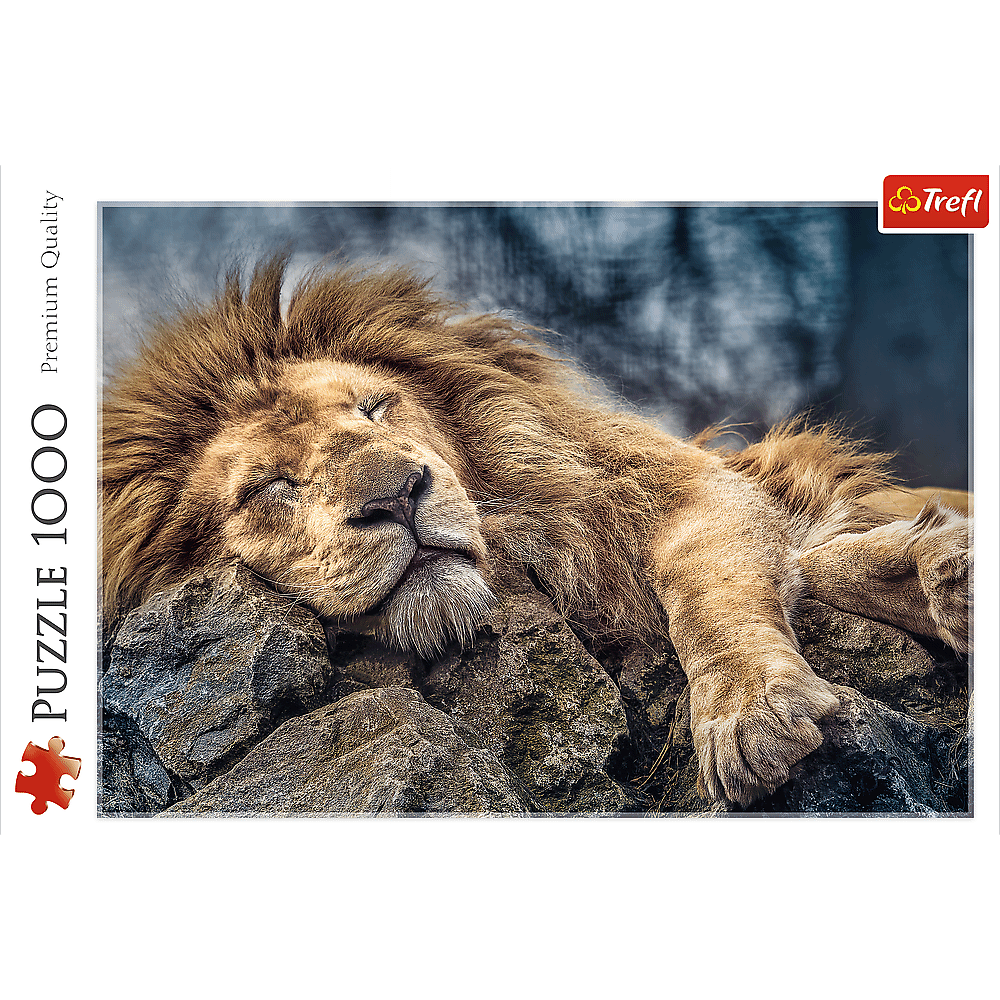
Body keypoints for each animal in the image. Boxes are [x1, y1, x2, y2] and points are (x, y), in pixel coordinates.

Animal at [101, 255, 973, 807]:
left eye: (375, 408)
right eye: (270, 488)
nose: (400, 494)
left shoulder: (683, 489)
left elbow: (711, 591)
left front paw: (751, 711)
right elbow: (814, 562)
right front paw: (933, 570)